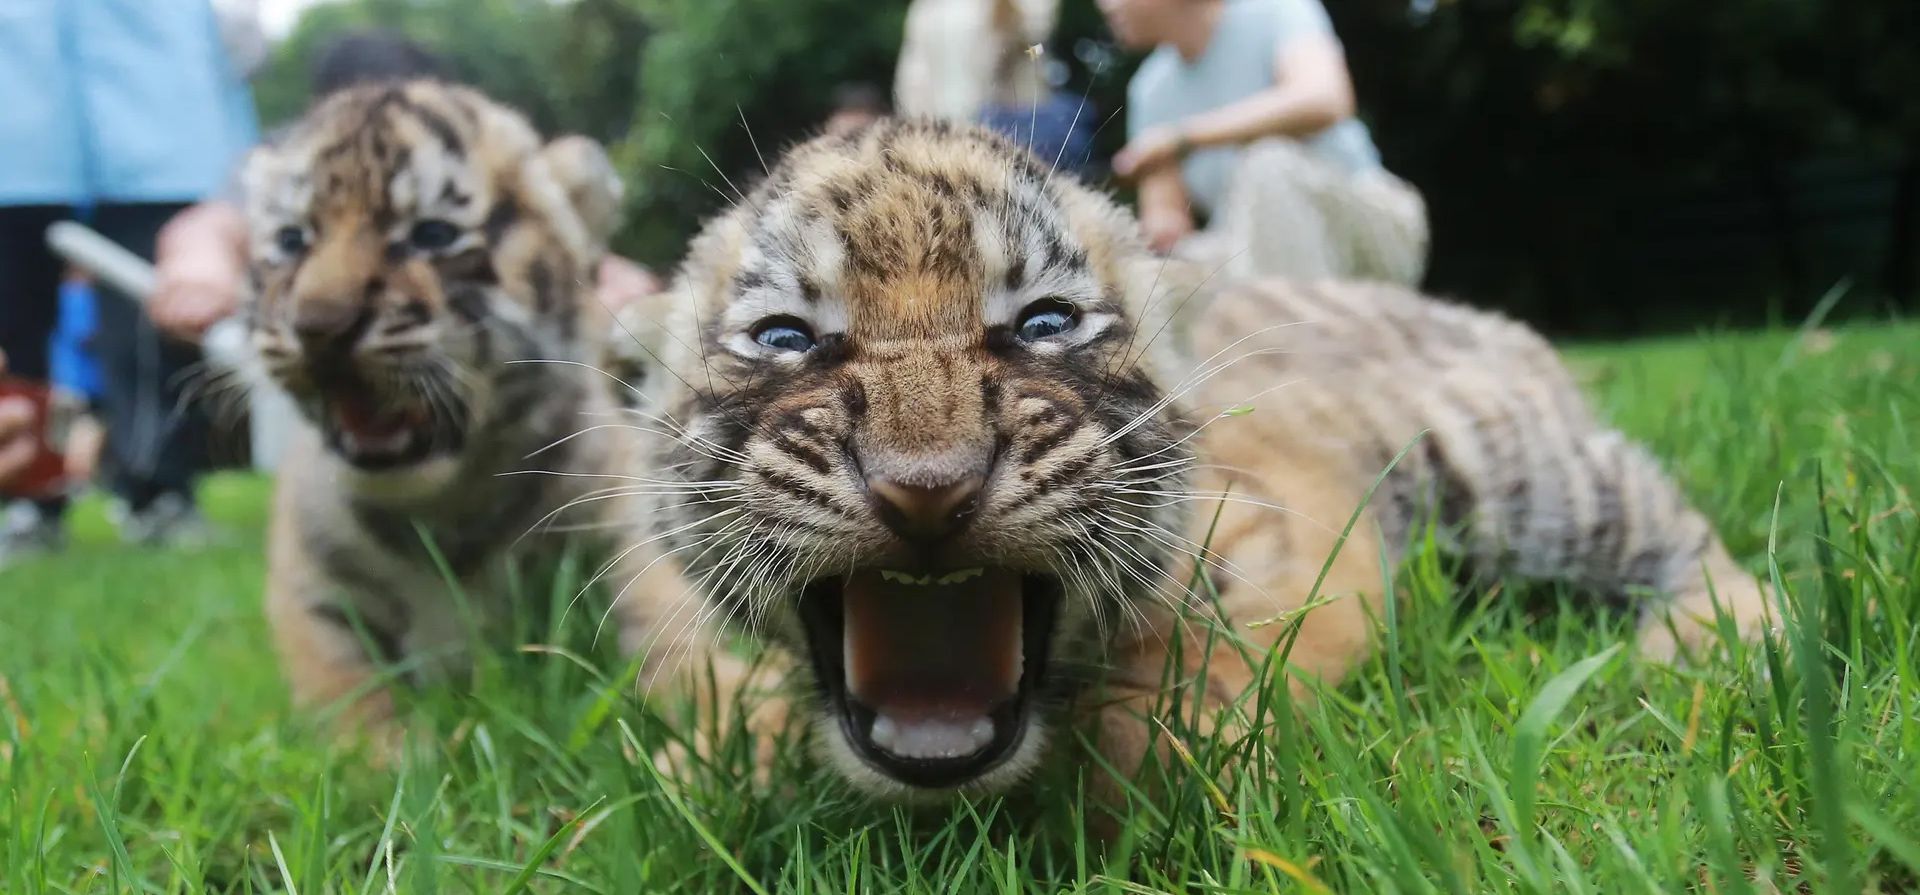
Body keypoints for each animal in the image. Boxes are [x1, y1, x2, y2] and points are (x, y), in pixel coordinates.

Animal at [241, 81, 630, 737]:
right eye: (293, 241)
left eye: (432, 235)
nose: (318, 326)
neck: (443, 510)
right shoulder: (310, 590)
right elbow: (346, 698)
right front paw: (384, 755)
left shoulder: (618, 530)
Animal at [614, 118, 1772, 808]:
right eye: (785, 339)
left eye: (1044, 323)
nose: (927, 487)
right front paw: (698, 771)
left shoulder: (1288, 549)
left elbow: (1176, 703)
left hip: (1522, 470)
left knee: (1678, 529)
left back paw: (1715, 640)